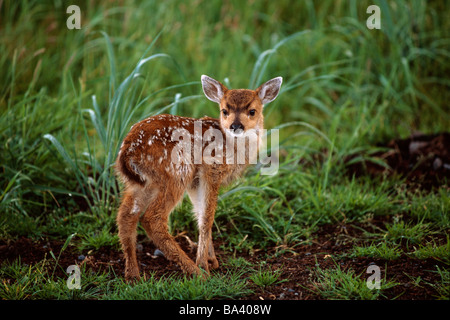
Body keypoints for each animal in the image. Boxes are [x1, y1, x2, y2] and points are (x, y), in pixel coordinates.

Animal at [115, 74, 282, 280]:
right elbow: (207, 217)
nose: (235, 126)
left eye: (252, 111)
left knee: (126, 215)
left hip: (141, 183)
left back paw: (133, 274)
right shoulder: (211, 169)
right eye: (224, 110)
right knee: (152, 219)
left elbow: (200, 214)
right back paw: (196, 272)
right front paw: (204, 264)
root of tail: (128, 151)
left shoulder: (195, 182)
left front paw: (212, 260)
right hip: (177, 172)